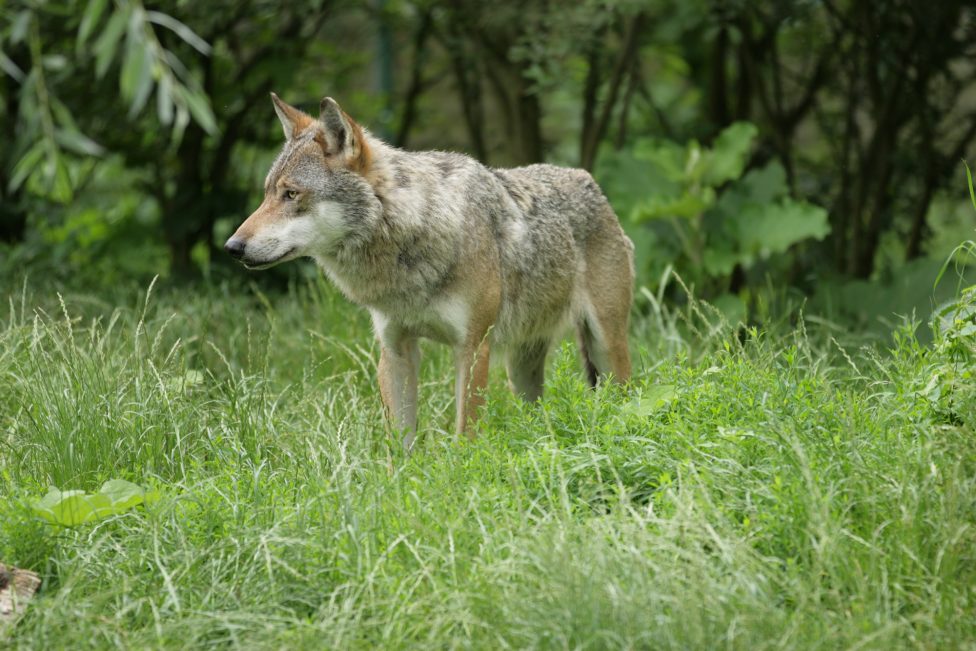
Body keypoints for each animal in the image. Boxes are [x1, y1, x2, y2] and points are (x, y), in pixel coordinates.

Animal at [225, 94, 634, 449]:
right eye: (267, 193)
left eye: (291, 194)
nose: (232, 247)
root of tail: (590, 182)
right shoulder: (395, 350)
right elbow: (399, 443)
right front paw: (399, 484)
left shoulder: (473, 348)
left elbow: (465, 432)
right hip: (522, 366)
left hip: (605, 346)